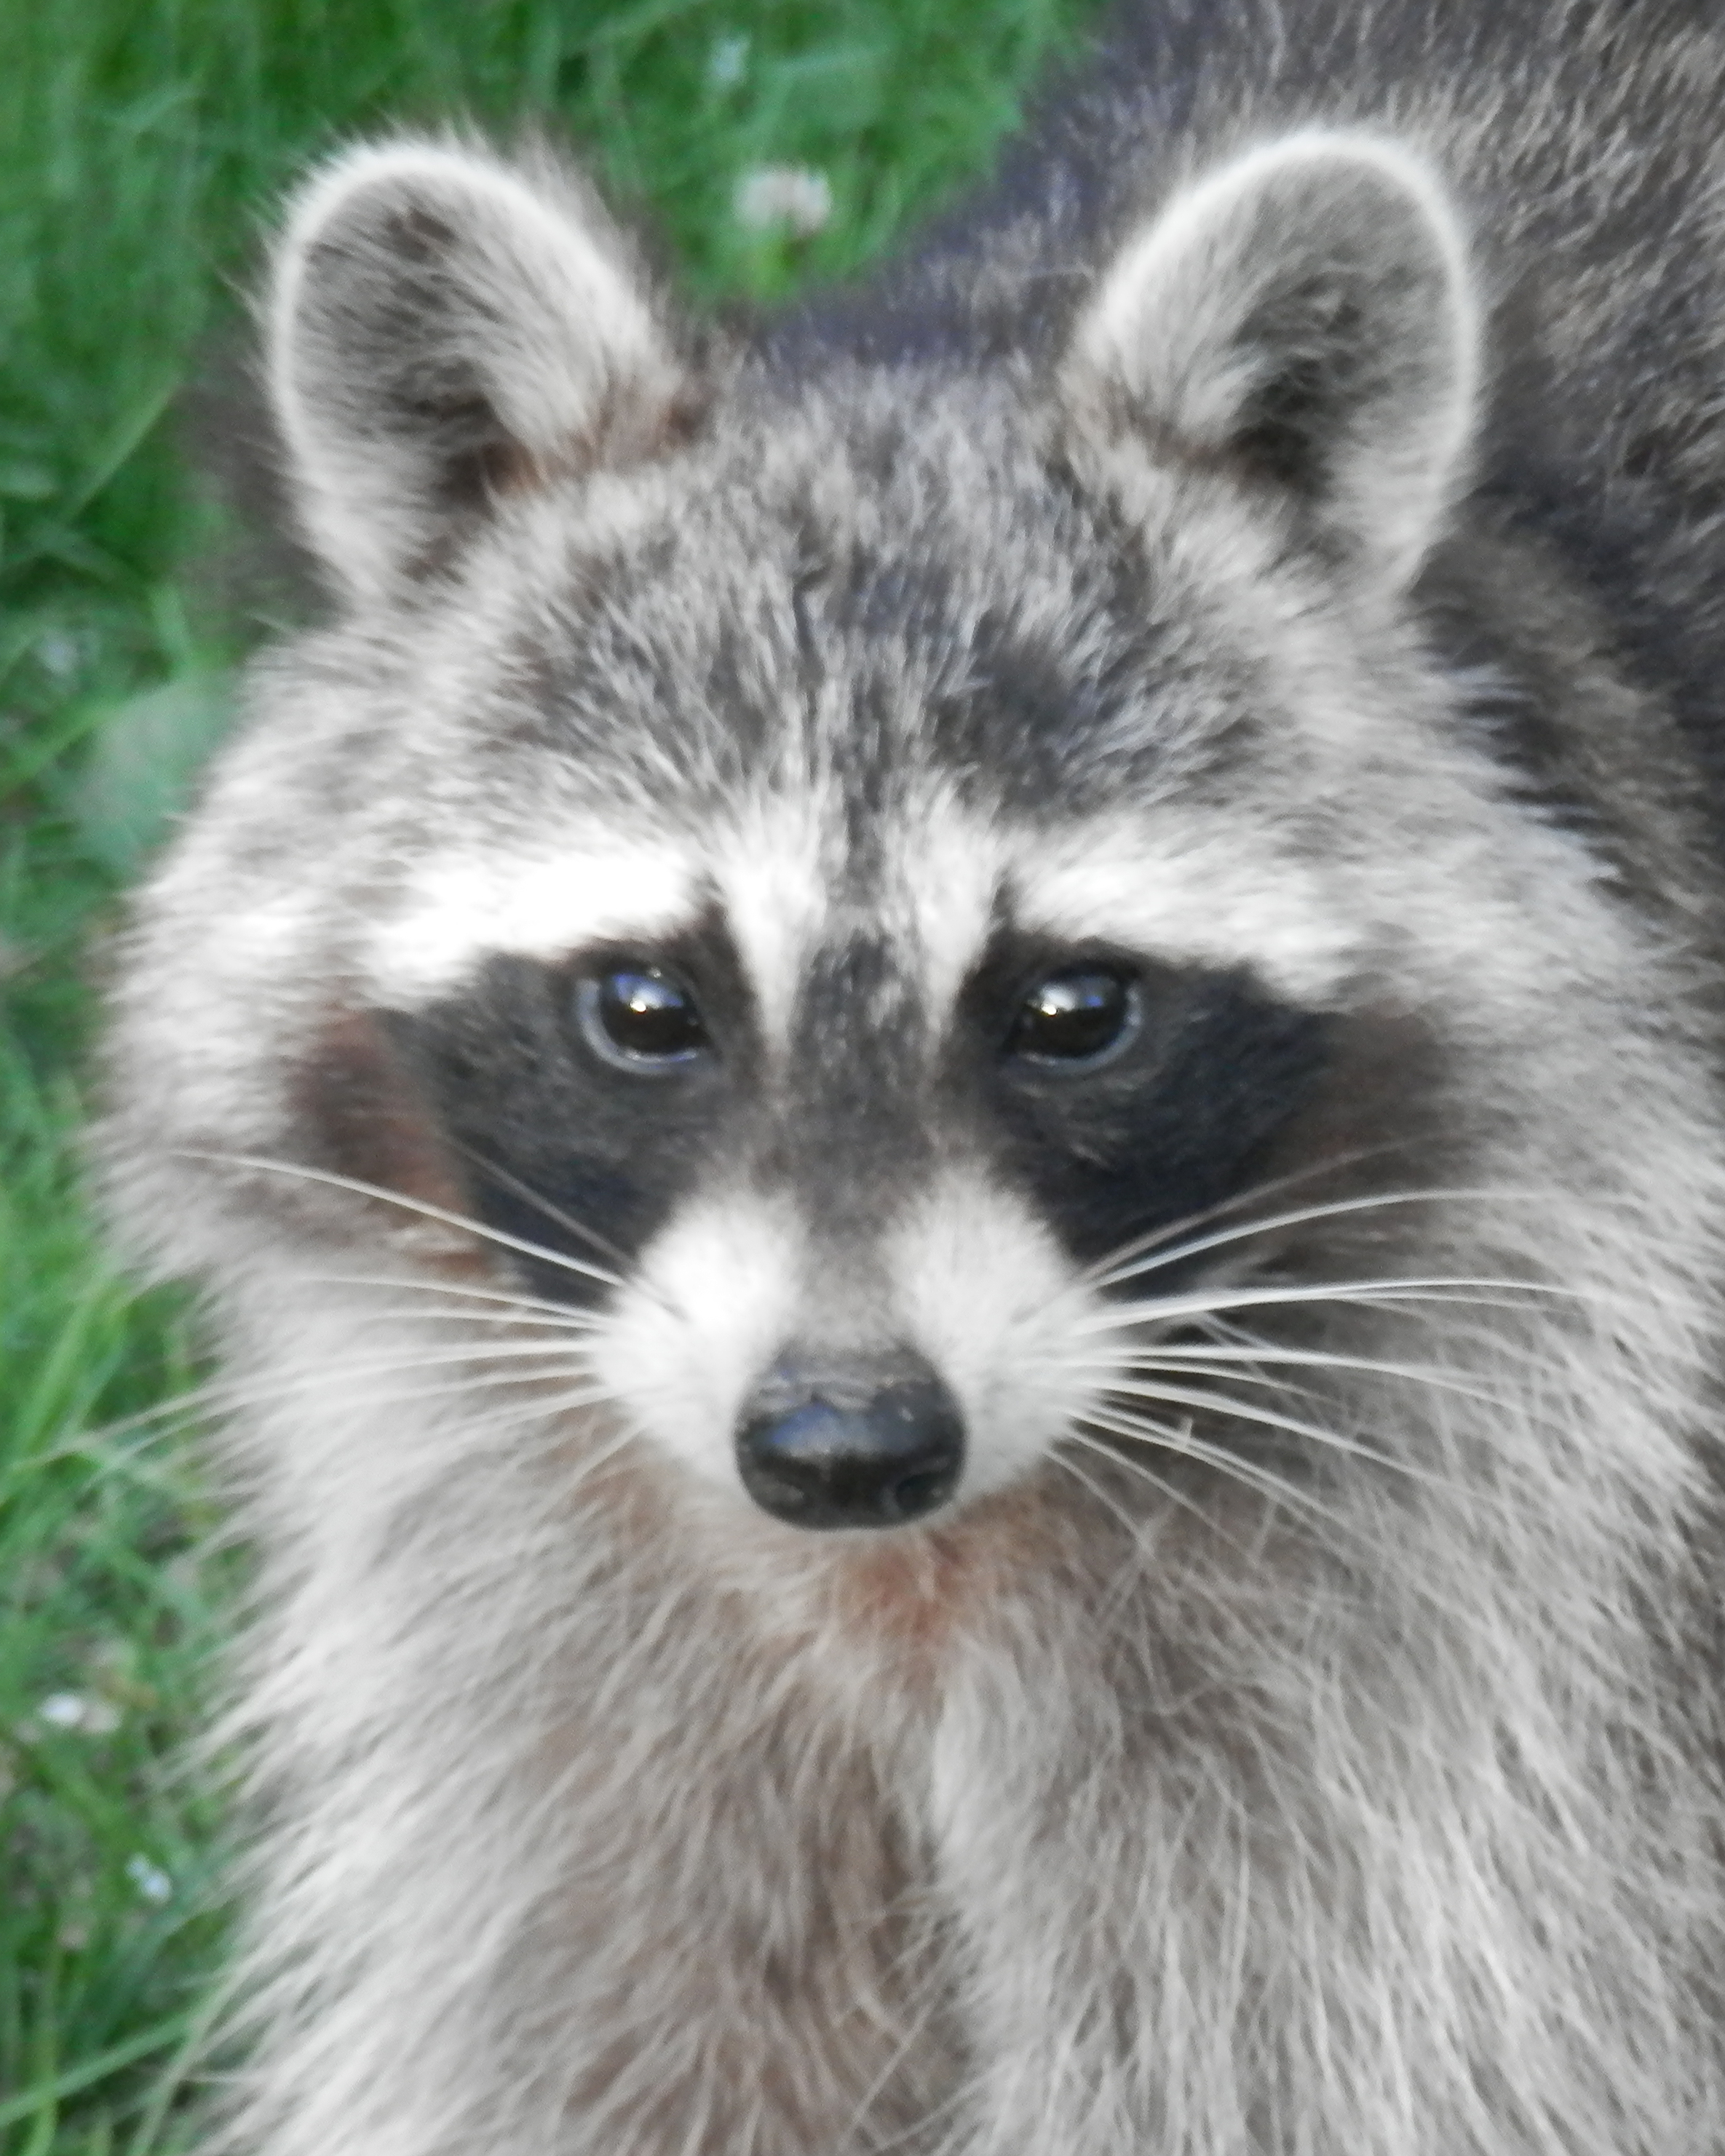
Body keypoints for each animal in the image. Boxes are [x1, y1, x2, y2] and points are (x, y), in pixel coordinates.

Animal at [100, 0, 1725, 2149]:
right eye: (647, 1006)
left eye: (1074, 1009)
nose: (844, 1440)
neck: (896, 1579)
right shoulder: (527, 1559)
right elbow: (596, 2022)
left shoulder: (1508, 1590)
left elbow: (1331, 2051)